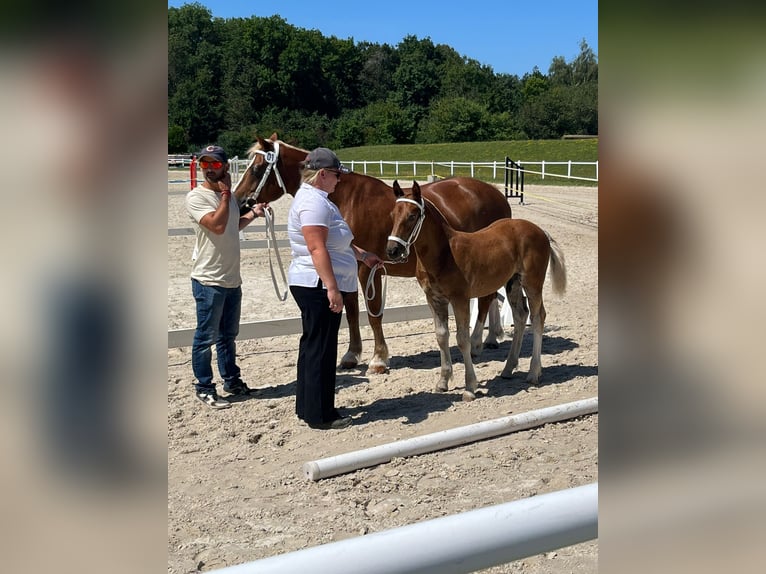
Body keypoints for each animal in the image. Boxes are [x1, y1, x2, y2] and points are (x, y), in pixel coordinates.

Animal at [231, 134, 512, 374]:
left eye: (256, 169)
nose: (239, 201)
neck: (344, 199)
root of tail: (497, 194)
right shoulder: (348, 265)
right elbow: (352, 311)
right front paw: (351, 355)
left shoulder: (369, 269)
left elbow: (373, 313)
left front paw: (378, 359)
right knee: (489, 297)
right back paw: (490, 337)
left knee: (486, 300)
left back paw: (476, 343)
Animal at [388, 182, 568, 402]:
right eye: (393, 214)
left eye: (413, 215)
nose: (392, 250)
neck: (444, 254)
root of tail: (541, 231)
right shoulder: (434, 299)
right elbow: (441, 336)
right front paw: (443, 382)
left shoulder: (460, 299)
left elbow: (462, 340)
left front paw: (469, 387)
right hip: (513, 284)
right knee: (520, 316)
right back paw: (508, 369)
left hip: (532, 283)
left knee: (537, 317)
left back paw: (534, 373)